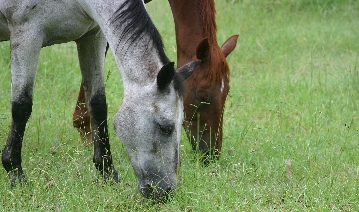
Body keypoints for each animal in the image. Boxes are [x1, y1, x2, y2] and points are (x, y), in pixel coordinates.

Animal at [0, 0, 200, 200]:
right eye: (165, 128)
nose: (166, 191)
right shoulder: (26, 35)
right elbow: (22, 106)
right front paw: (15, 172)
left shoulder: (93, 36)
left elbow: (97, 104)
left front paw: (108, 173)